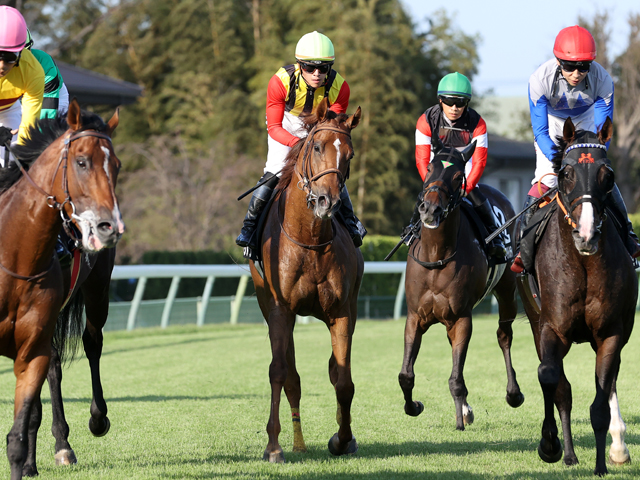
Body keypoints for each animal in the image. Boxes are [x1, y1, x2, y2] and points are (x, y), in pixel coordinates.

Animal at [0, 99, 124, 479]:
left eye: (117, 165)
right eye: (81, 162)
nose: (109, 226)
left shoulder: (32, 343)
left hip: (97, 290)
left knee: (91, 342)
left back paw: (87, 427)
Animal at [249, 98, 363, 463]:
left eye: (350, 154)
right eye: (316, 146)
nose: (328, 201)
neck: (309, 239)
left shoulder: (341, 312)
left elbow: (343, 380)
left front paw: (343, 438)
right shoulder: (280, 311)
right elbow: (279, 372)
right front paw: (273, 446)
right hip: (270, 308)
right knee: (291, 376)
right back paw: (296, 443)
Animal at [398, 140, 524, 431]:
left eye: (457, 176)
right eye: (429, 168)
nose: (430, 209)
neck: (437, 254)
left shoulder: (461, 318)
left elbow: (455, 378)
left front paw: (459, 419)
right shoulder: (415, 317)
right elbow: (406, 375)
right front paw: (414, 406)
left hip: (507, 292)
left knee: (504, 336)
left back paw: (513, 393)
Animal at [516, 117, 636, 476]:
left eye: (607, 174)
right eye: (566, 172)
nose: (585, 234)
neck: (581, 261)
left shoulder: (611, 333)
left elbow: (600, 402)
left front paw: (602, 465)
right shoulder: (551, 328)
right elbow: (551, 378)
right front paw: (550, 445)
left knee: (610, 383)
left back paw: (617, 447)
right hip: (534, 318)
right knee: (560, 386)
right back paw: (568, 453)